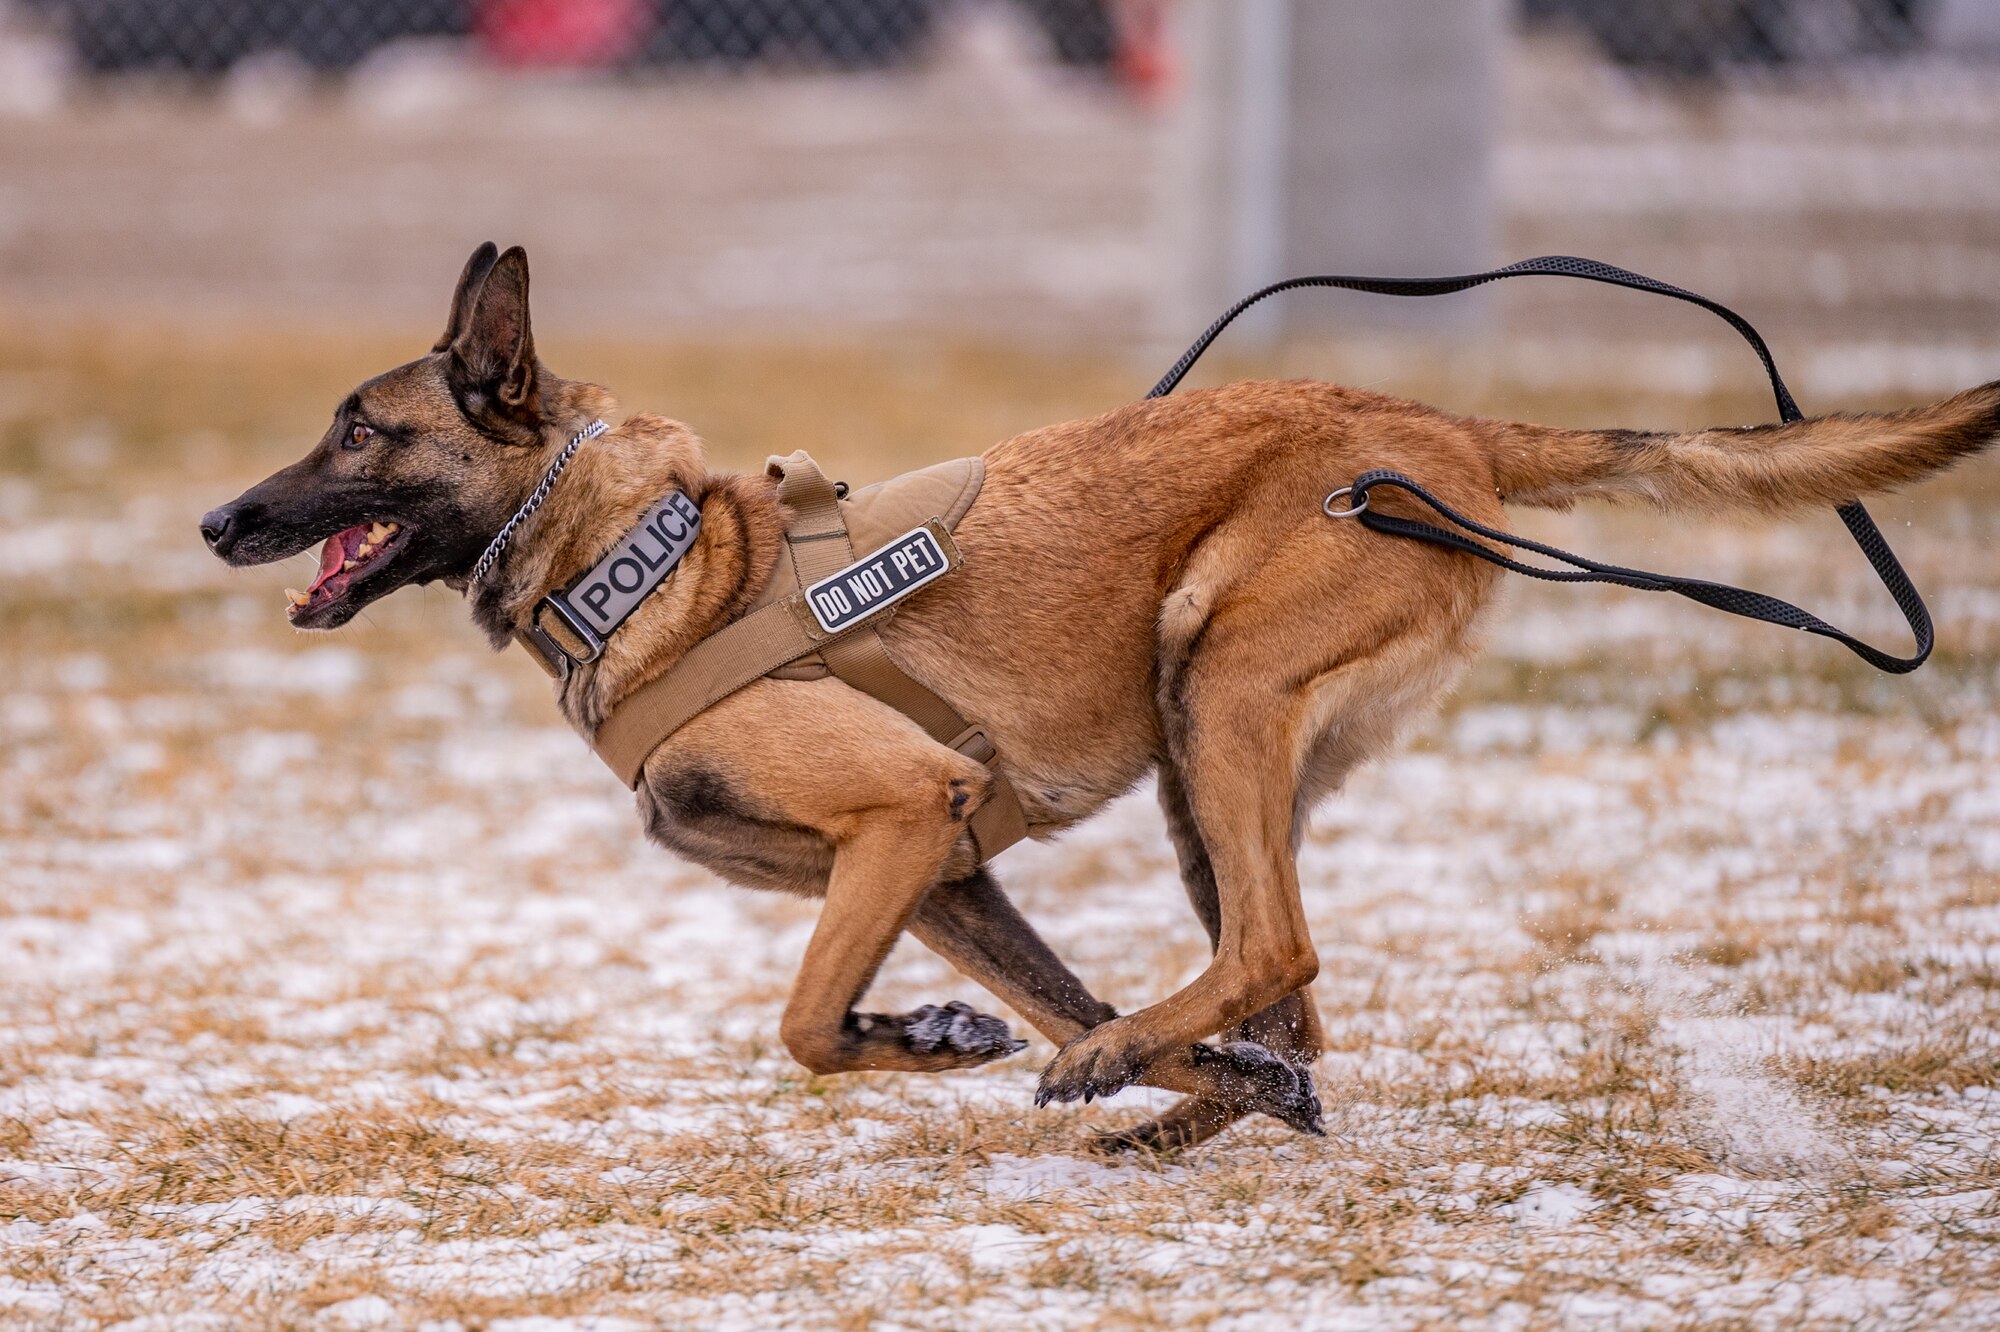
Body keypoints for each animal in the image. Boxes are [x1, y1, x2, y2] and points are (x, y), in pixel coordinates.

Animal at [203, 244, 2000, 1144]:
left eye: (360, 429)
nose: (223, 520)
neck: (648, 560)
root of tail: (1438, 430)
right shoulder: (945, 871)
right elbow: (1012, 1003)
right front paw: (990, 1040)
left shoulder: (902, 818)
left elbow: (805, 1025)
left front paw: (954, 1042)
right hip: (1219, 771)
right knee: (1283, 996)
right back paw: (1210, 1101)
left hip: (1217, 684)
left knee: (1279, 953)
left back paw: (1156, 1078)